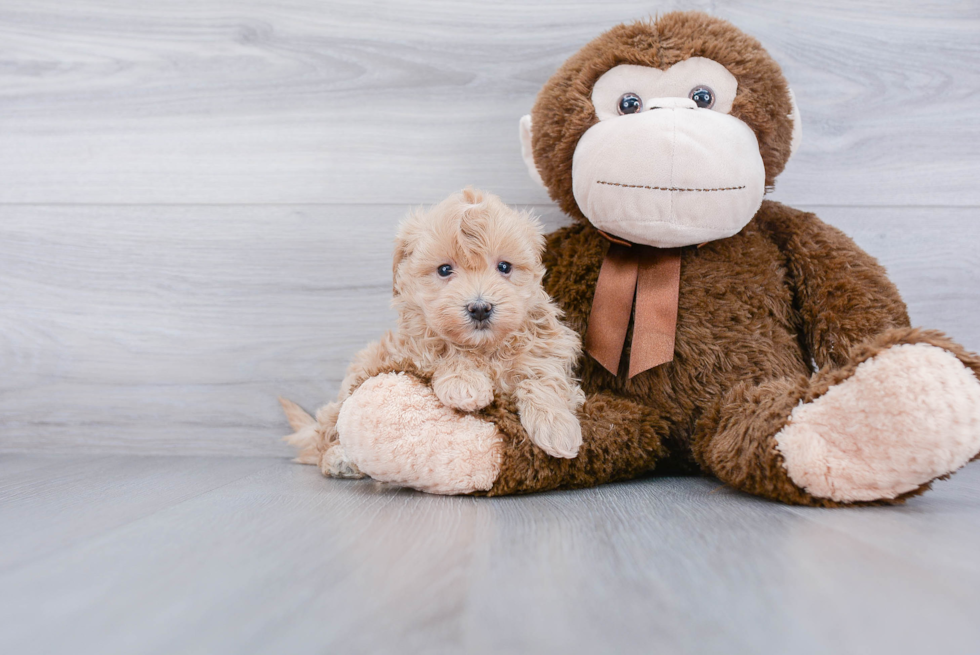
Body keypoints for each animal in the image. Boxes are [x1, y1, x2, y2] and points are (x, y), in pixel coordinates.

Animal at [284, 187, 588, 474]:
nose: (480, 308)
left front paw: (556, 425)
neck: (483, 349)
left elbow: (542, 380)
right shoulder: (413, 353)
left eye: (504, 267)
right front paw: (464, 383)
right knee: (327, 431)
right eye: (444, 270)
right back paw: (339, 459)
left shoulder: (547, 353)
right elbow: (445, 354)